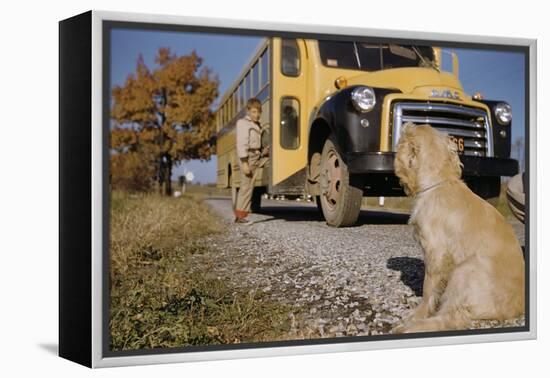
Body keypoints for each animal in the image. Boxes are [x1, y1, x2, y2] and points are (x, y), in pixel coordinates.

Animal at [392, 122, 528, 332]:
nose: (407, 123)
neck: (439, 182)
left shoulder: (436, 253)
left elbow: (428, 289)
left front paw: (417, 314)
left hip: (464, 271)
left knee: (452, 318)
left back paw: (409, 327)